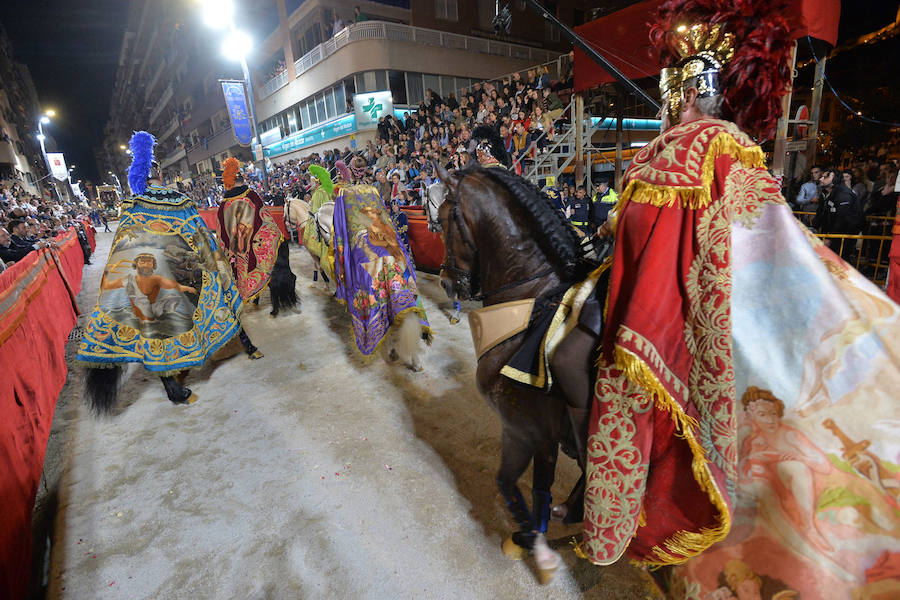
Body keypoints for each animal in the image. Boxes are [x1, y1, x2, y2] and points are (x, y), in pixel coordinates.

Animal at [432, 163, 600, 580]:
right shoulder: (546, 438)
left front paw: (531, 544)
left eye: (442, 218)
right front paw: (534, 534)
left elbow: (509, 482)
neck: (532, 302)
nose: (445, 281)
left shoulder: (524, 430)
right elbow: (540, 486)